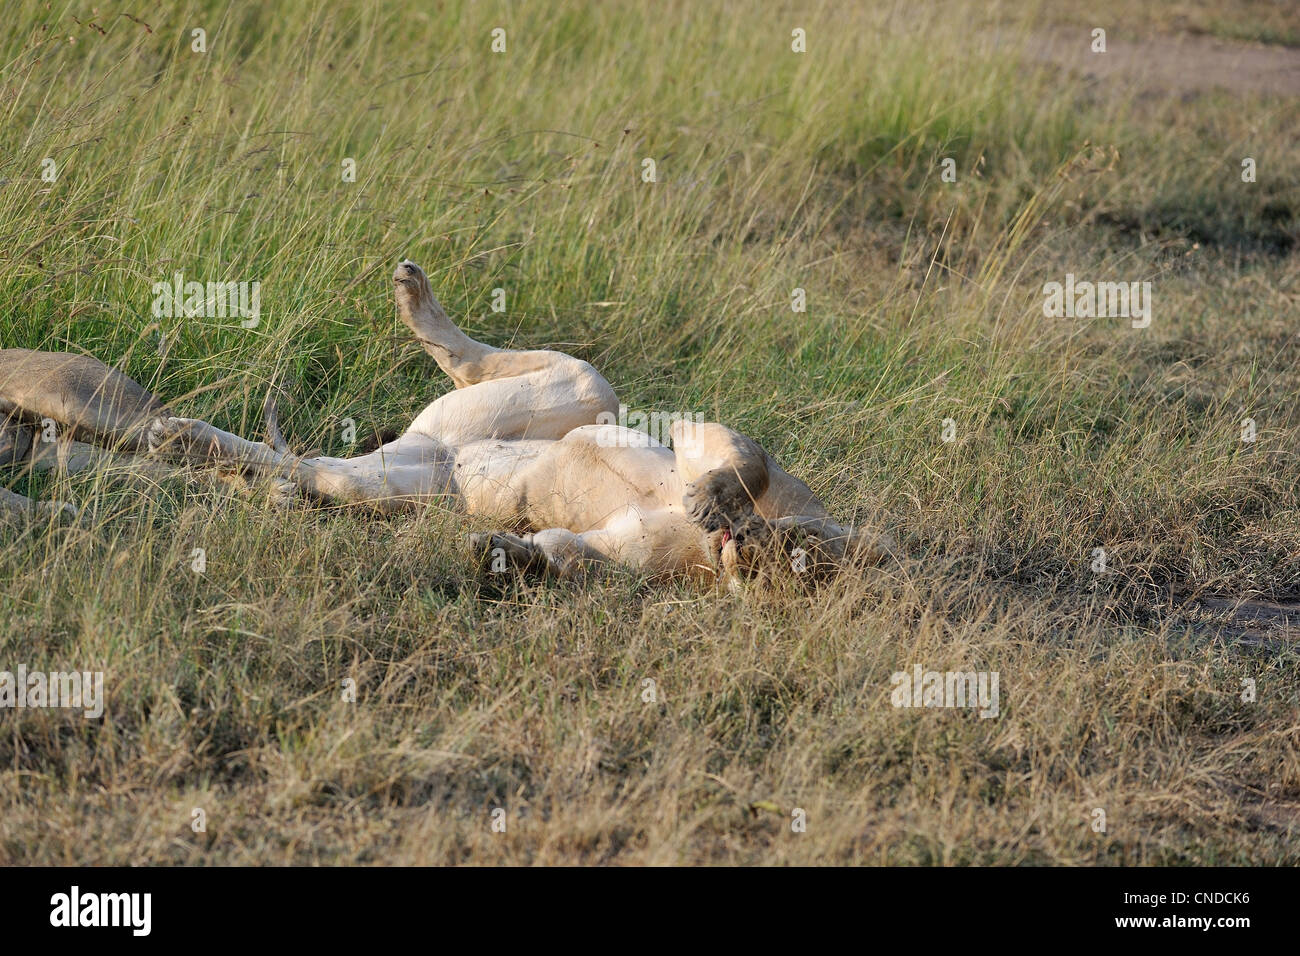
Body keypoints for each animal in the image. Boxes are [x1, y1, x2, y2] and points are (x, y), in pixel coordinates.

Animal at [0, 261, 894, 584]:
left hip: (396, 483)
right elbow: (747, 451)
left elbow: (568, 555)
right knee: (485, 360)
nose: (752, 550)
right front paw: (719, 498)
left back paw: (202, 450)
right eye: (807, 554)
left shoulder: (619, 554)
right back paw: (414, 296)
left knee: (299, 470)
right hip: (583, 390)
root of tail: (432, 454)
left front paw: (504, 556)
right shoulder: (707, 441)